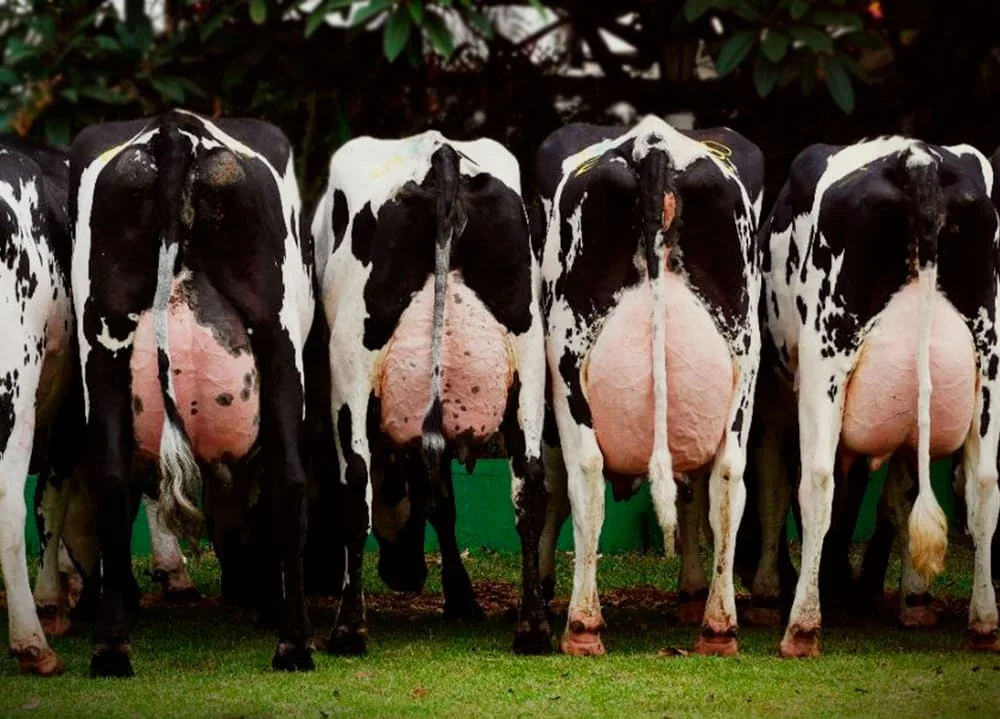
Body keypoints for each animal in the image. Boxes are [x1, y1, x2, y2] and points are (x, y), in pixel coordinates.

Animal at [68, 110, 315, 677]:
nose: (241, 591)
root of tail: (174, 129)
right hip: (279, 336)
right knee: (289, 479)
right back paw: (292, 641)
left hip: (103, 340)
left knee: (110, 477)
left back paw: (111, 648)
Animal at [311, 130, 548, 654]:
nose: (404, 575)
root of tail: (439, 153)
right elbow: (442, 498)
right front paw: (463, 598)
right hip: (529, 364)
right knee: (529, 487)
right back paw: (533, 628)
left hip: (351, 366)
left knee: (354, 485)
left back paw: (348, 629)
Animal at [535, 115, 764, 656]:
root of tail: (653, 143)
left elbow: (552, 488)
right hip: (743, 362)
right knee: (728, 475)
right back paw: (718, 627)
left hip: (568, 364)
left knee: (585, 473)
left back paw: (582, 626)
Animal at [758, 136, 1000, 657]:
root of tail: (917, 159)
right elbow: (901, 499)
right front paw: (915, 599)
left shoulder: (772, 397)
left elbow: (773, 491)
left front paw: (768, 594)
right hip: (989, 364)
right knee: (983, 487)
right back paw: (984, 623)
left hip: (825, 357)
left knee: (818, 482)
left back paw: (801, 627)